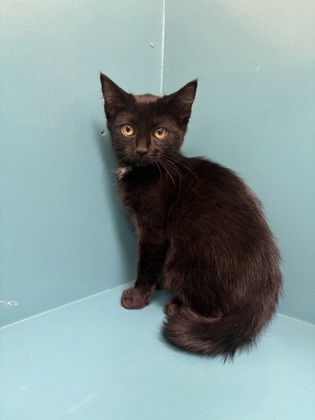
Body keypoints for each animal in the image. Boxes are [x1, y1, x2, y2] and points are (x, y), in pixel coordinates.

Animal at [100, 73, 282, 358]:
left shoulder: (154, 231)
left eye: (160, 132)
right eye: (127, 129)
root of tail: (263, 290)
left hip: (185, 255)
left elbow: (147, 261)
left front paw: (139, 296)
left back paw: (177, 306)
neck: (146, 171)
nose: (141, 149)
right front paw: (154, 285)